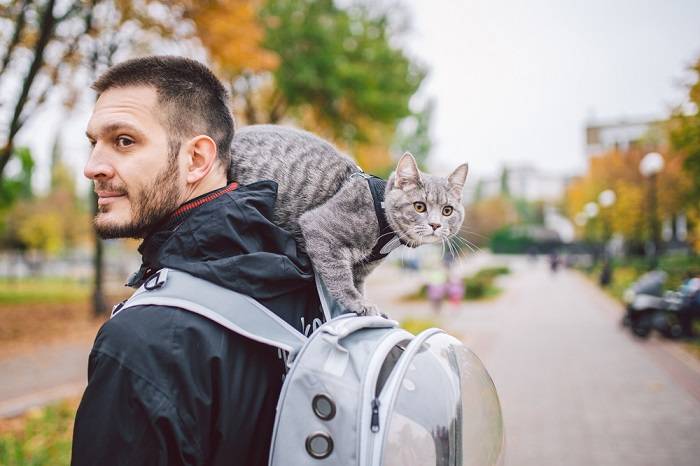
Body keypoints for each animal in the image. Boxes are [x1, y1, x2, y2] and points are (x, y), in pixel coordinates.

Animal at [231, 124, 470, 314]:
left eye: (447, 211)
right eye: (419, 206)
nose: (435, 224)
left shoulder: (362, 268)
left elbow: (357, 284)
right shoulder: (319, 227)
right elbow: (340, 277)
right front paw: (358, 303)